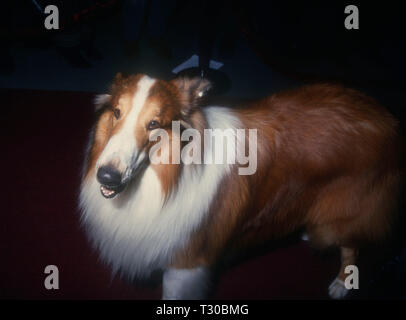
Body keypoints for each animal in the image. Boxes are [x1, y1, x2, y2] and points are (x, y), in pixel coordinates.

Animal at [80, 74, 402, 298]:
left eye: (154, 124)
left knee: (351, 245)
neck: (170, 176)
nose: (107, 177)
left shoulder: (185, 265)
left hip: (346, 212)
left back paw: (341, 284)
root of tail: (386, 117)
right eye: (116, 112)